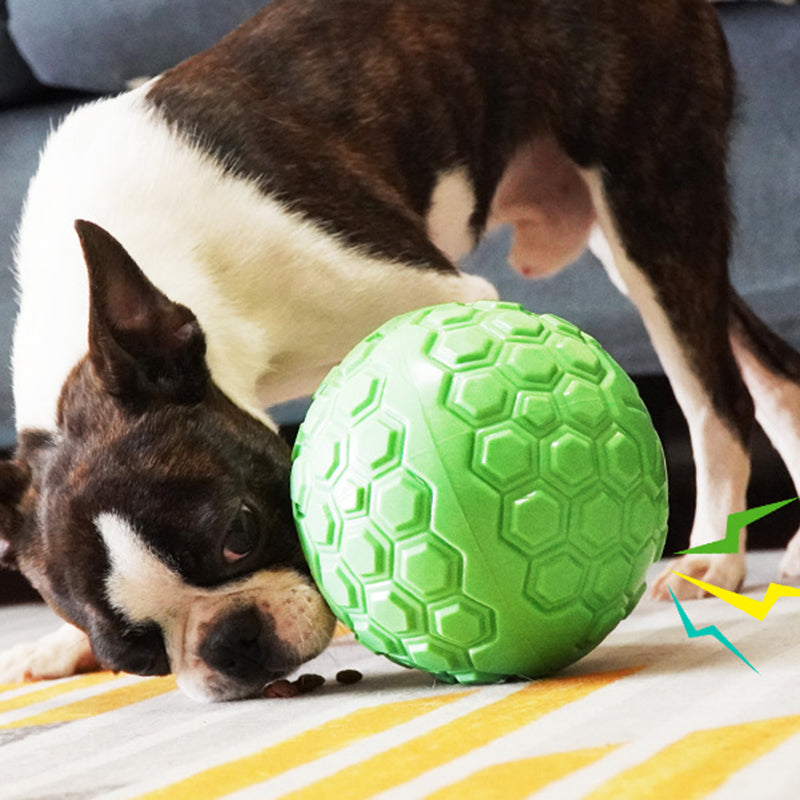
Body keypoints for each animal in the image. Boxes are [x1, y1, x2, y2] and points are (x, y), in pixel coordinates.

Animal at [1, 0, 800, 700]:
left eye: (239, 533)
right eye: (133, 654)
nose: (233, 641)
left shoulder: (439, 294)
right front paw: (65, 644)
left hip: (648, 196)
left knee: (716, 396)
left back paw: (714, 558)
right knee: (769, 372)